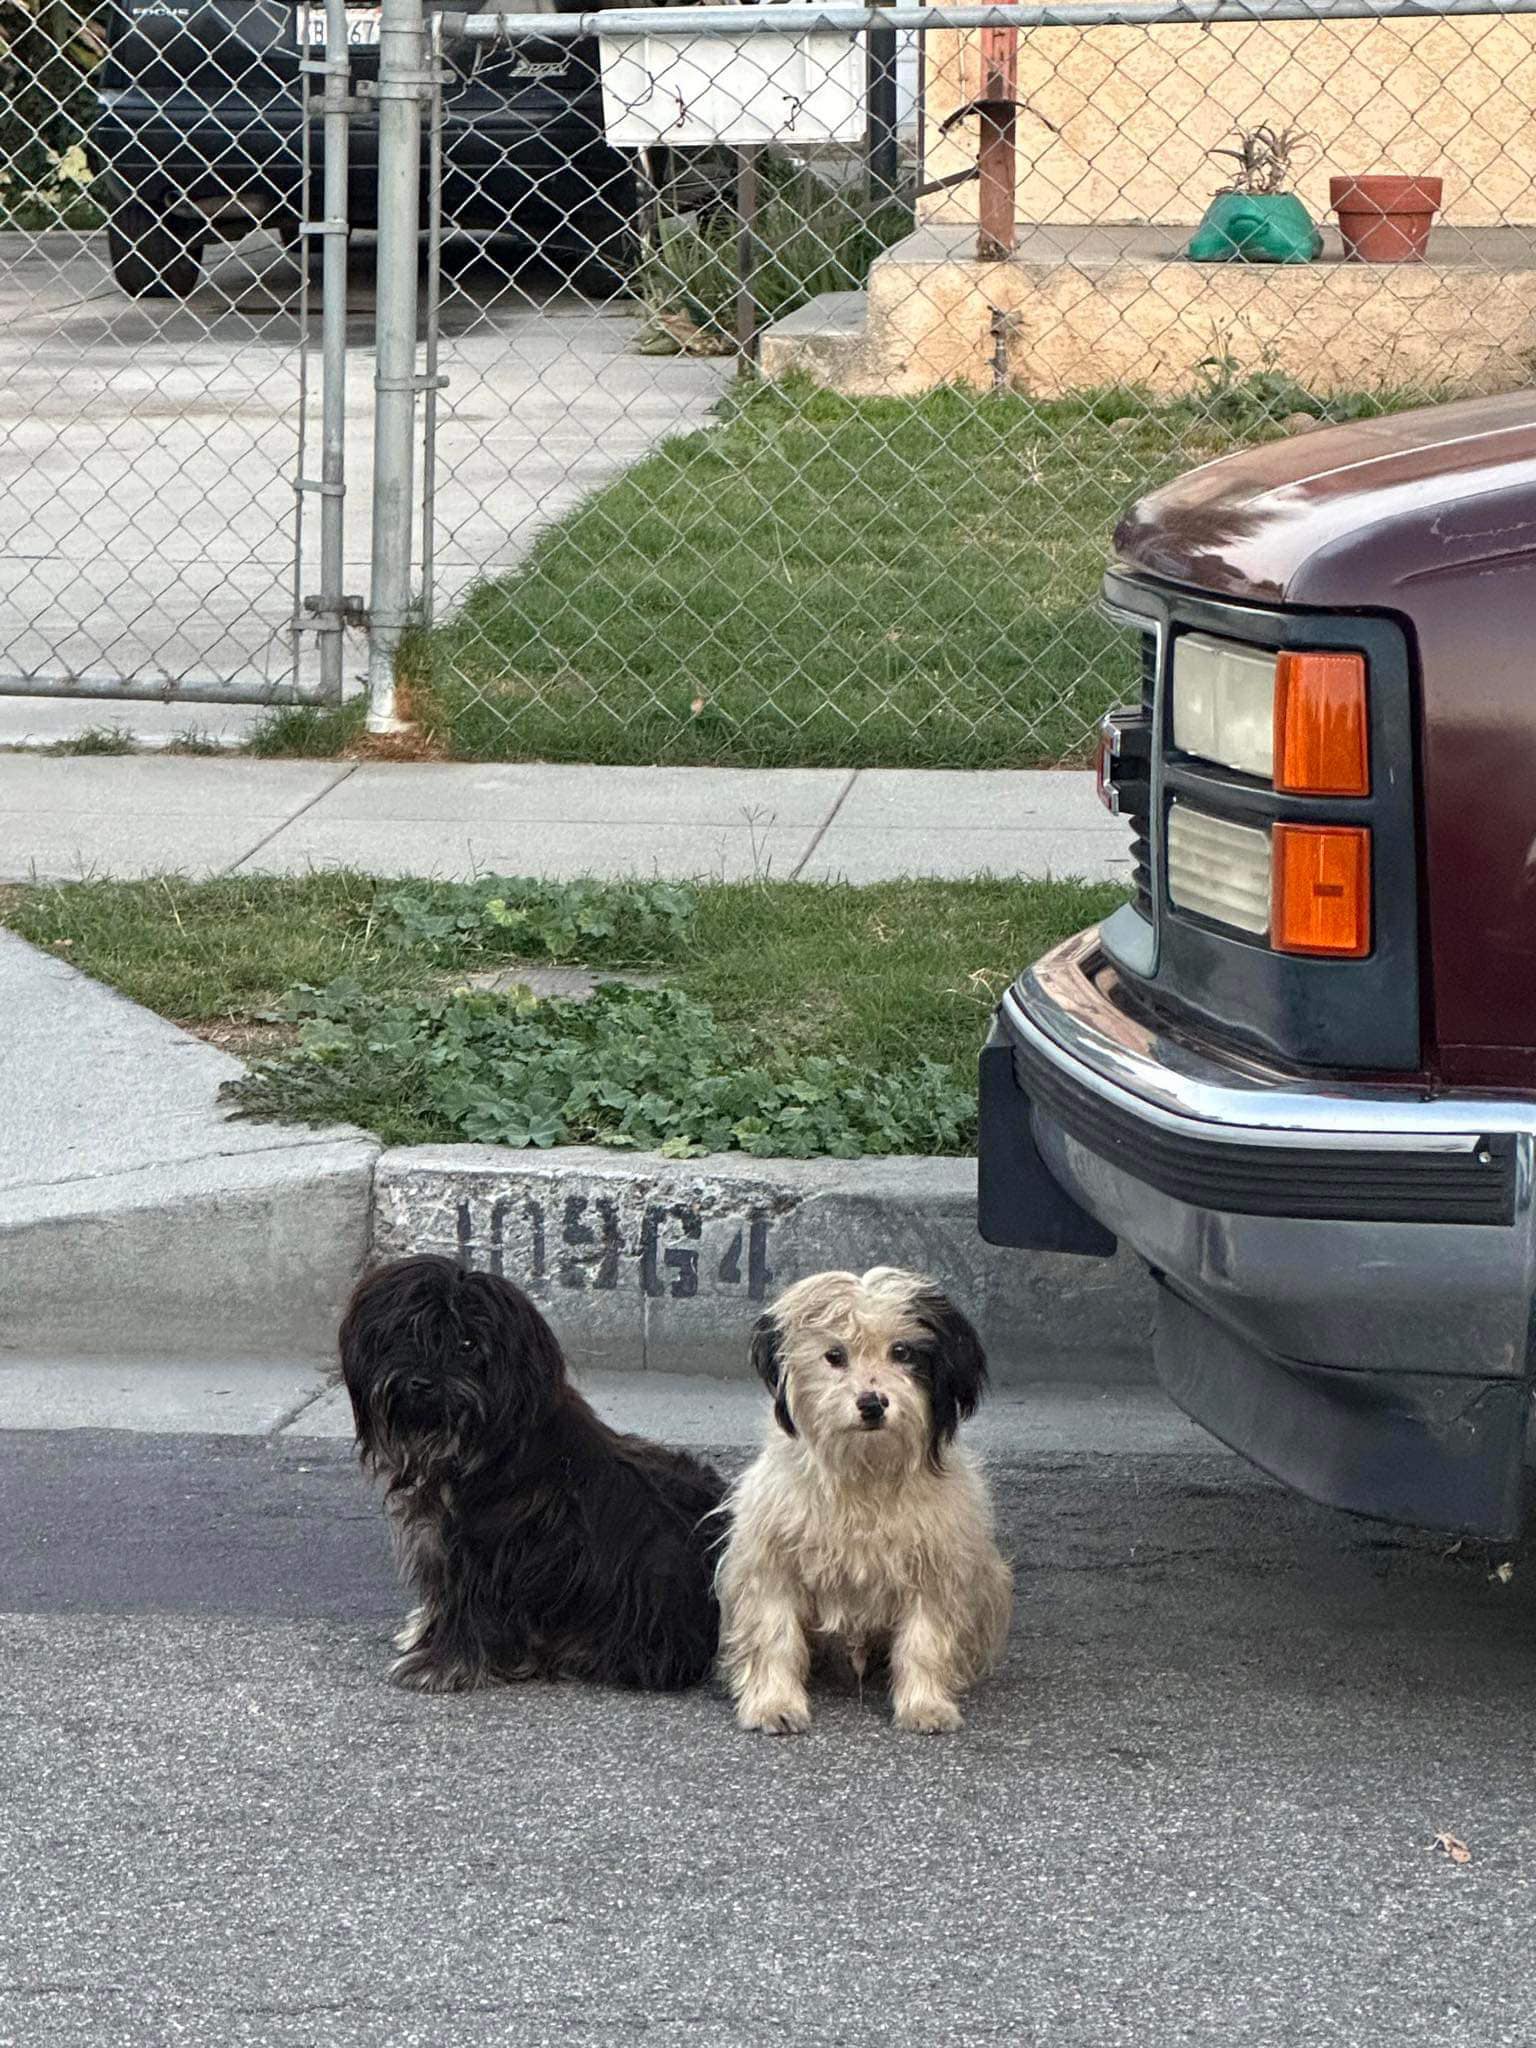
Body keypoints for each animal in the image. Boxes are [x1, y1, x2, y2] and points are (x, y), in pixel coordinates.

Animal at [342, 1253, 733, 1687]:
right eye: (406, 1329)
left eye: (467, 1344)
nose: (422, 1383)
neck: (479, 1445)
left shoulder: (484, 1553)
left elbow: (469, 1608)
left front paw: (440, 1663)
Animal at [720, 1261, 1015, 1728]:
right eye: (834, 1355)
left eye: (902, 1351)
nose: (873, 1403)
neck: (865, 1474)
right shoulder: (772, 1562)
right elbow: (775, 1636)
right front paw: (775, 1703)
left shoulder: (933, 1568)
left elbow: (923, 1641)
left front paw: (924, 1704)